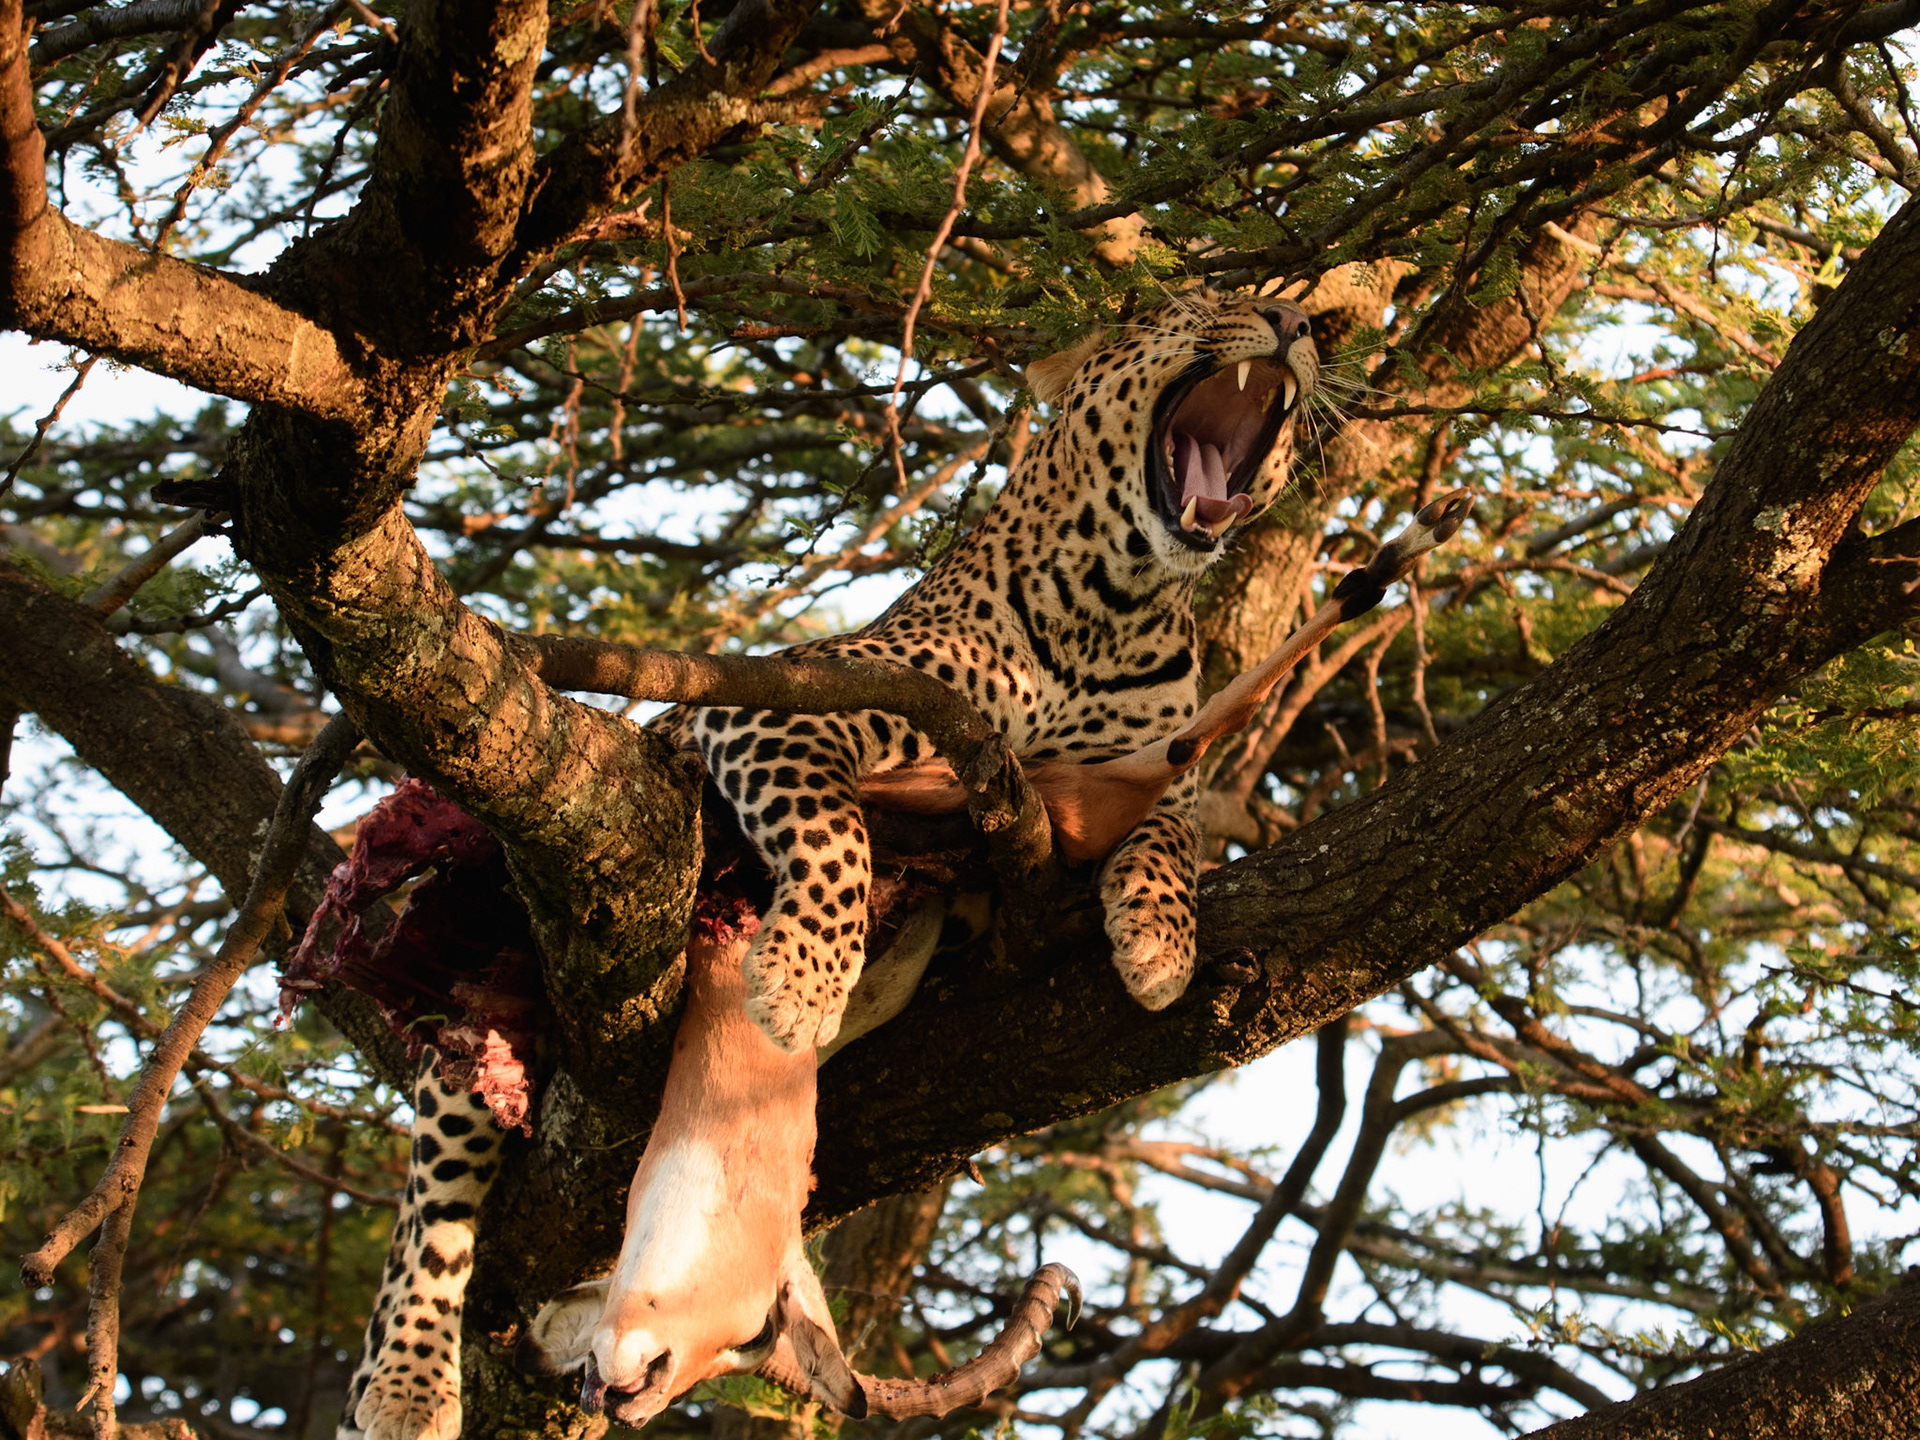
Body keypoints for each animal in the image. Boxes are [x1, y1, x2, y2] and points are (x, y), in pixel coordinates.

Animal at [336, 291, 1318, 1440]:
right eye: (1200, 304)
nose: (1292, 318)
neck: (1115, 607)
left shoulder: (1156, 771)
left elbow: (1170, 837)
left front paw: (1158, 941)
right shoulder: (780, 707)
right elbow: (831, 827)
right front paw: (801, 978)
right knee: (432, 1213)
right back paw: (407, 1382)